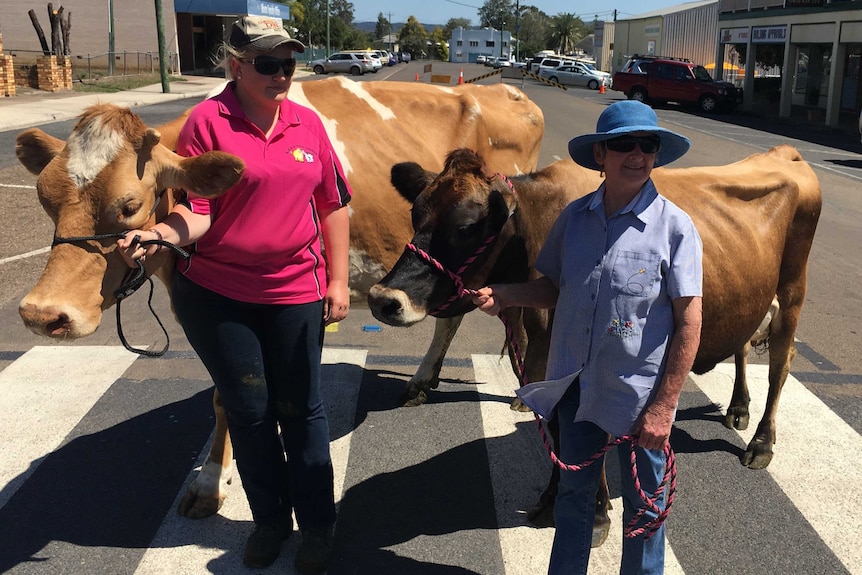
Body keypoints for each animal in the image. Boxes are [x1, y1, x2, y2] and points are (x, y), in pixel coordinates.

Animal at [15, 75, 548, 516]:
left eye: (129, 206)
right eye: (44, 197)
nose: (43, 313)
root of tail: (505, 89)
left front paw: (213, 483)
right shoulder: (202, 313)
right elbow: (230, 394)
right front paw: (219, 474)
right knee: (452, 316)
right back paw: (422, 381)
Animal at [370, 146, 824, 544]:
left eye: (465, 227)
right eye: (415, 213)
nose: (382, 299)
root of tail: (784, 153)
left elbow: (591, 434)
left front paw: (598, 513)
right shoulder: (546, 362)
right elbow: (559, 432)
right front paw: (553, 499)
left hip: (794, 290)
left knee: (781, 363)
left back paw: (761, 442)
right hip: (752, 295)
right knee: (744, 345)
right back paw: (738, 408)